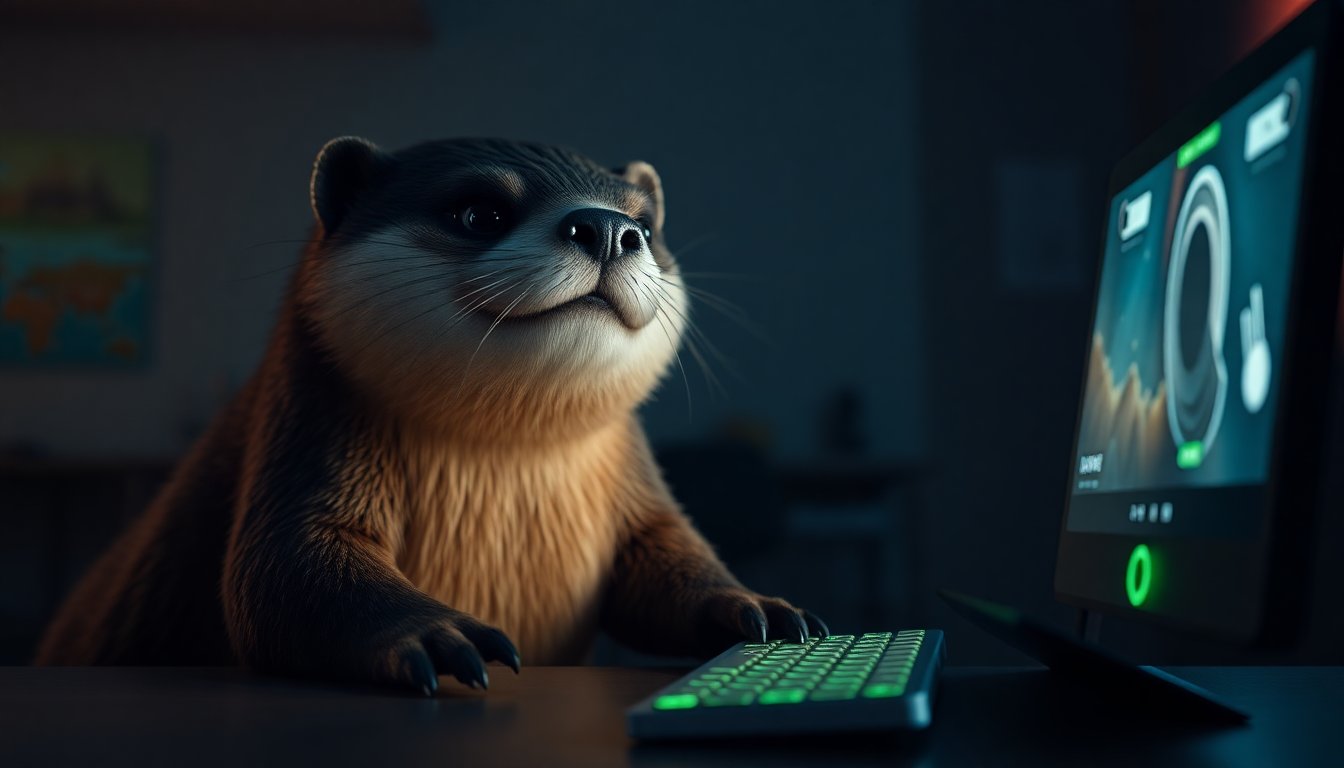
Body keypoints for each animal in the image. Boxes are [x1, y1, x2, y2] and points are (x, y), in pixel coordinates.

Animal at [36, 137, 827, 694]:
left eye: (645, 225)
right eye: (479, 212)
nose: (608, 229)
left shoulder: (640, 496)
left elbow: (669, 558)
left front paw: (756, 607)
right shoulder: (306, 433)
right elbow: (281, 576)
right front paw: (438, 636)